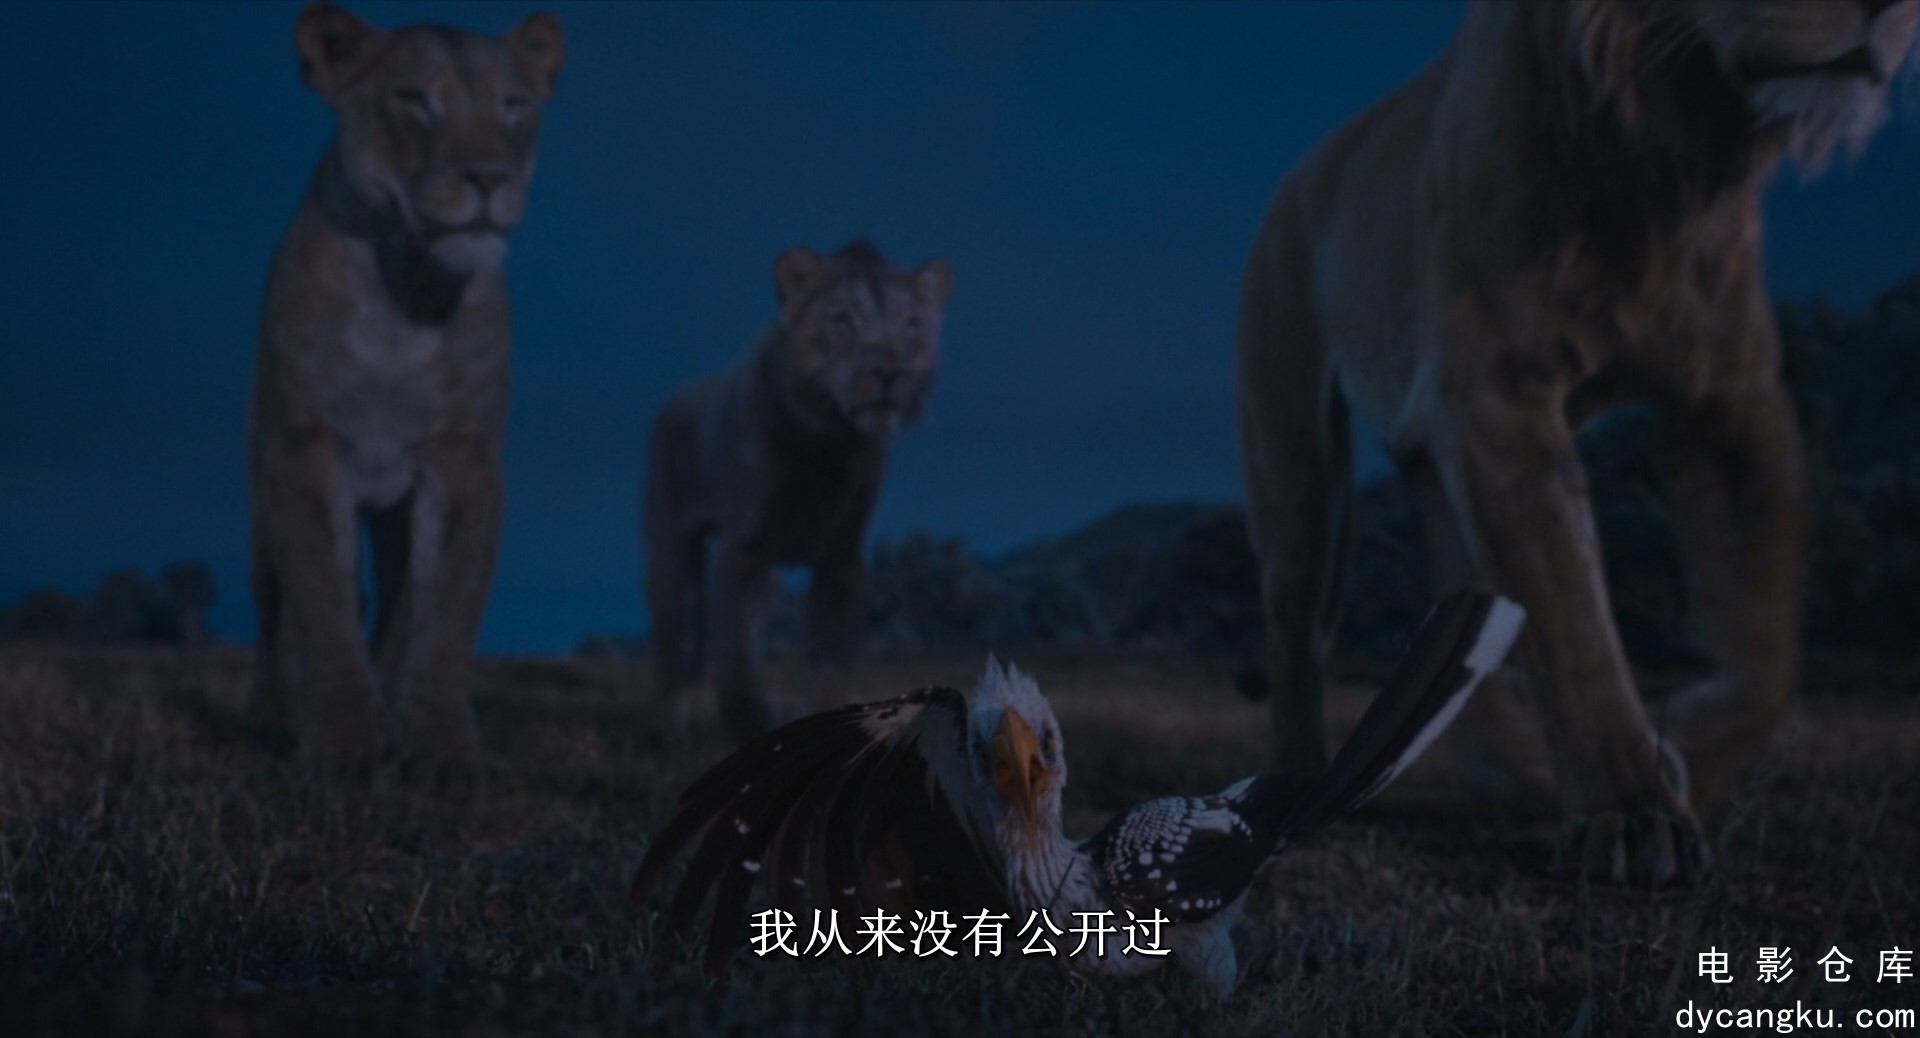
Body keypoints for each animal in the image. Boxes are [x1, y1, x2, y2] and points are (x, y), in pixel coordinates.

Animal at [246, 2, 563, 765]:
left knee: (397, 605)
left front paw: (439, 749)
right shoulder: (302, 450)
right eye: (417, 100)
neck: (407, 295)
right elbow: (323, 600)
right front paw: (340, 747)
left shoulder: (463, 460)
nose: (489, 179)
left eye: (513, 105)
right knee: (275, 610)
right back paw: (270, 717)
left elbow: (445, 609)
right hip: (259, 496)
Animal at [643, 240, 953, 741]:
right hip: (669, 545)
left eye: (910, 324)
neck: (826, 446)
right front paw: (749, 726)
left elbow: (829, 661)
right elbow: (737, 661)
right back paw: (676, 716)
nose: (888, 372)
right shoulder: (742, 549)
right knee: (673, 631)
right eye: (844, 321)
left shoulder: (841, 556)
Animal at [1236, 0, 1916, 885]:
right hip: (1296, 455)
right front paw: (1634, 809)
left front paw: (1691, 745)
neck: (1662, 154)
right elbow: (1571, 612)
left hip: (1429, 459)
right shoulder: (1496, 393)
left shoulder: (1734, 396)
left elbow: (1771, 641)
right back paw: (1303, 779)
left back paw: (1512, 773)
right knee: (1295, 627)